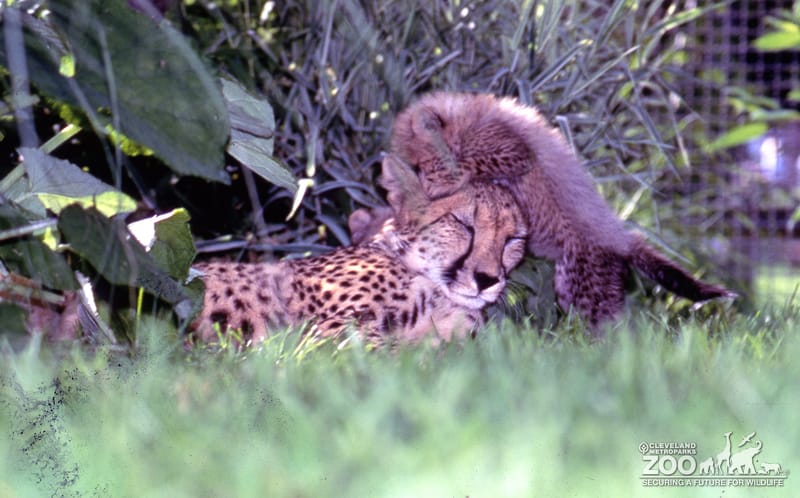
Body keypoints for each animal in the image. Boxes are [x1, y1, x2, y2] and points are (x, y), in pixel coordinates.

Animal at [387, 91, 735, 328]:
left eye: (420, 164)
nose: (413, 182)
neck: (465, 118)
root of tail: (622, 239)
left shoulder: (513, 151)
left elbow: (470, 163)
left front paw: (442, 180)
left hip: (582, 288)